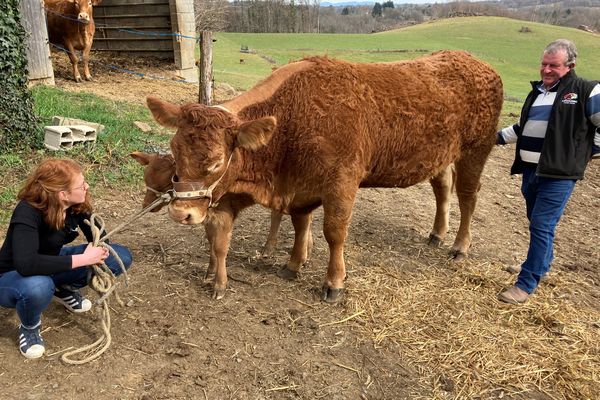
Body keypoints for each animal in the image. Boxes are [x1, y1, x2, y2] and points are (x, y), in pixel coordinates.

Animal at [148, 52, 504, 304]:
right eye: (175, 151)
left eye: (216, 162)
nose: (181, 213)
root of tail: (474, 61)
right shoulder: (299, 187)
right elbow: (299, 224)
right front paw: (292, 264)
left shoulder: (342, 181)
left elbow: (334, 232)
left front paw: (333, 283)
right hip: (440, 156)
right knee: (443, 188)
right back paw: (437, 234)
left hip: (476, 150)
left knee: (468, 195)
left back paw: (459, 246)